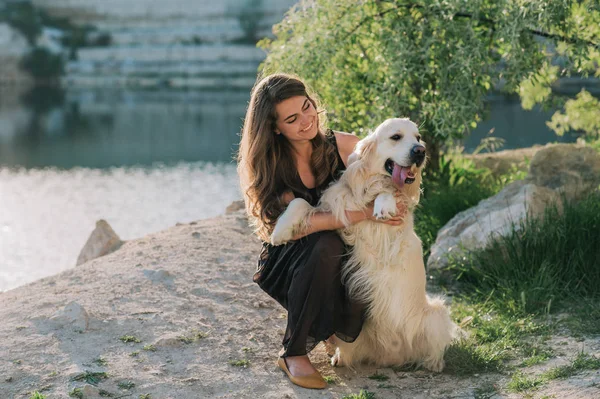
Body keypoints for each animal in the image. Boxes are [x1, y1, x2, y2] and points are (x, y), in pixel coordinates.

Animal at [270, 118, 458, 372]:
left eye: (418, 138)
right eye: (396, 137)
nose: (421, 152)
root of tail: (390, 357)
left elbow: (389, 191)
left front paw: (384, 204)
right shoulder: (338, 213)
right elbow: (299, 201)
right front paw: (280, 231)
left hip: (436, 313)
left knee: (434, 348)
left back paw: (433, 364)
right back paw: (339, 356)